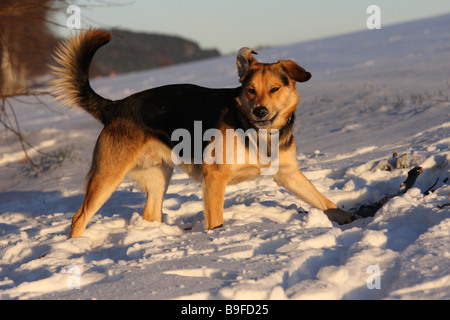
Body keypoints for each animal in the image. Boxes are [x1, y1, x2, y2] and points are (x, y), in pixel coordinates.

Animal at [51, 28, 356, 238]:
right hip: (108, 177)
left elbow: (325, 201)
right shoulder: (214, 178)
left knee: (150, 213)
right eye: (250, 90)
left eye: (274, 89)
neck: (254, 130)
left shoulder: (288, 174)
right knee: (79, 218)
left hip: (159, 174)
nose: (259, 112)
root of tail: (114, 106)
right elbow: (216, 220)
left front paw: (348, 218)